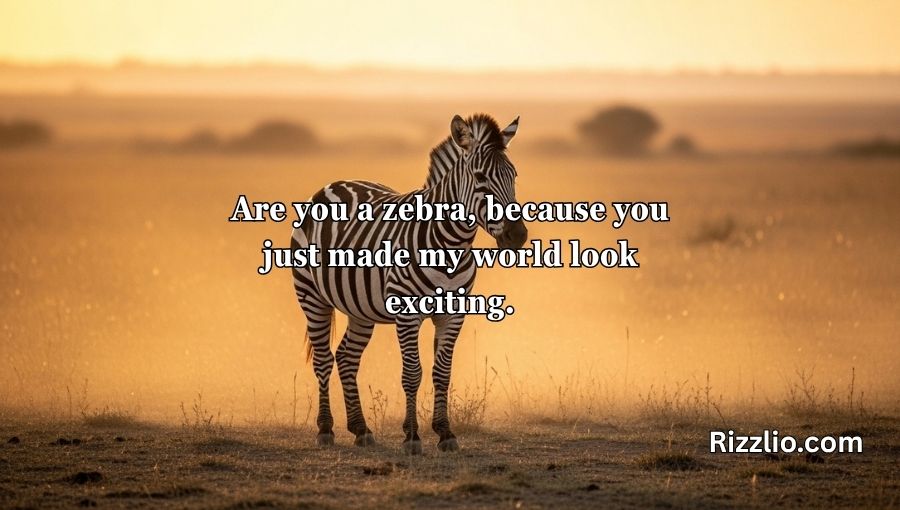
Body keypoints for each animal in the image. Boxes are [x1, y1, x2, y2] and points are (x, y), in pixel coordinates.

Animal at [290, 114, 527, 454]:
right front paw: (413, 436)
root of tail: (333, 184)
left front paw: (445, 433)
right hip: (311, 296)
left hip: (360, 309)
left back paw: (361, 429)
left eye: (514, 176)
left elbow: (442, 373)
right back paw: (325, 429)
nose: (517, 236)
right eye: (480, 177)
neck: (449, 245)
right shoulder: (407, 313)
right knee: (323, 359)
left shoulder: (453, 314)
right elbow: (413, 373)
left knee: (347, 358)